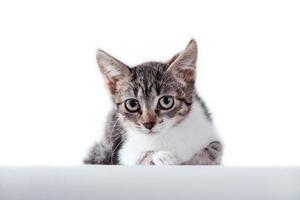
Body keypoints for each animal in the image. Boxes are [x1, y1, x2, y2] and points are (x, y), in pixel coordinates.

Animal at [84, 39, 223, 166]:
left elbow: (215, 148)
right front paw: (159, 156)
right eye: (132, 104)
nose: (148, 124)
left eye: (166, 101)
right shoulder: (121, 151)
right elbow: (137, 157)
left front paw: (200, 157)